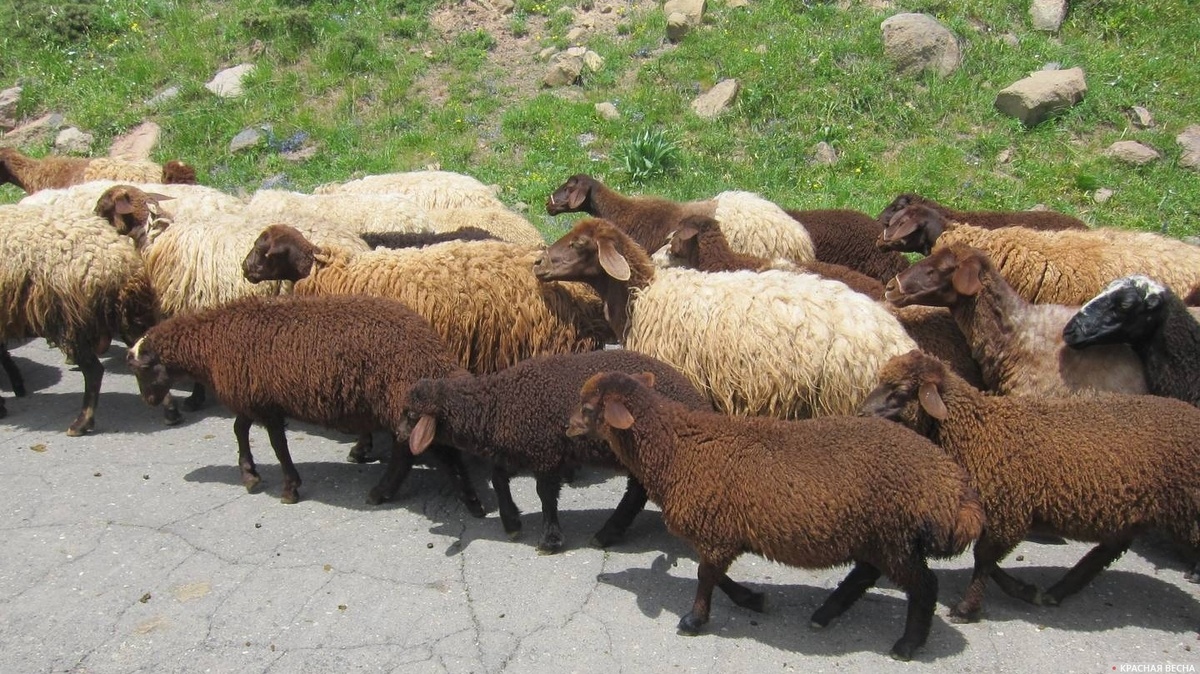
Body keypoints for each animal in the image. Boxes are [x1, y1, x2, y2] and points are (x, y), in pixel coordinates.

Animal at [0, 202, 156, 435]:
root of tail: (117, 260)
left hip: (70, 320)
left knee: (94, 372)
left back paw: (81, 423)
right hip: (125, 314)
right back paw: (171, 411)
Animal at [126, 293, 485, 512]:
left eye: (142, 370)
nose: (149, 401)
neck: (211, 342)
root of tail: (433, 352)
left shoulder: (265, 404)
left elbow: (277, 446)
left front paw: (289, 488)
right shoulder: (255, 398)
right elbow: (240, 430)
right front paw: (250, 475)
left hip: (397, 402)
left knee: (416, 451)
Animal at [404, 349, 712, 553]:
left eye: (411, 415)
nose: (399, 435)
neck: (497, 405)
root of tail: (697, 401)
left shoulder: (545, 452)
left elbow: (546, 495)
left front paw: (550, 539)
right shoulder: (519, 449)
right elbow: (499, 479)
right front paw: (511, 523)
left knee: (637, 491)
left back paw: (608, 532)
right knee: (637, 491)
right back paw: (609, 533)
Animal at [568, 370, 983, 660]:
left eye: (589, 409)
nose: (567, 427)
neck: (677, 450)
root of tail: (953, 490)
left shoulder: (715, 531)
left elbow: (705, 577)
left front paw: (693, 621)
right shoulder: (723, 532)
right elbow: (718, 576)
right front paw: (752, 599)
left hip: (896, 535)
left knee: (924, 586)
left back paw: (907, 644)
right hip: (880, 536)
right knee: (867, 573)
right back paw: (825, 613)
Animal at [860, 349, 1200, 621]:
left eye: (900, 390)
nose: (862, 413)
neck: (977, 432)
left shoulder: (1008, 512)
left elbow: (983, 560)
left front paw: (967, 609)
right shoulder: (998, 514)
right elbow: (987, 561)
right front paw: (1024, 590)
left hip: (1187, 509)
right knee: (1107, 552)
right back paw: (1058, 592)